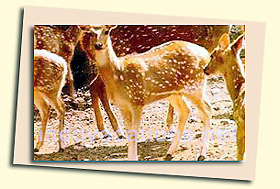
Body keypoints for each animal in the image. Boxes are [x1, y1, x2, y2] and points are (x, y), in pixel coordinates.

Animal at [80, 25, 211, 161]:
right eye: (90, 33)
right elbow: (129, 132)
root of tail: (207, 55)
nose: (98, 45)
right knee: (186, 110)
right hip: (175, 93)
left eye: (107, 31)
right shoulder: (122, 105)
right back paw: (170, 152)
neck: (118, 73)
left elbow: (134, 133)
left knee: (207, 109)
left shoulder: (137, 100)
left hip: (194, 86)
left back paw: (201, 154)